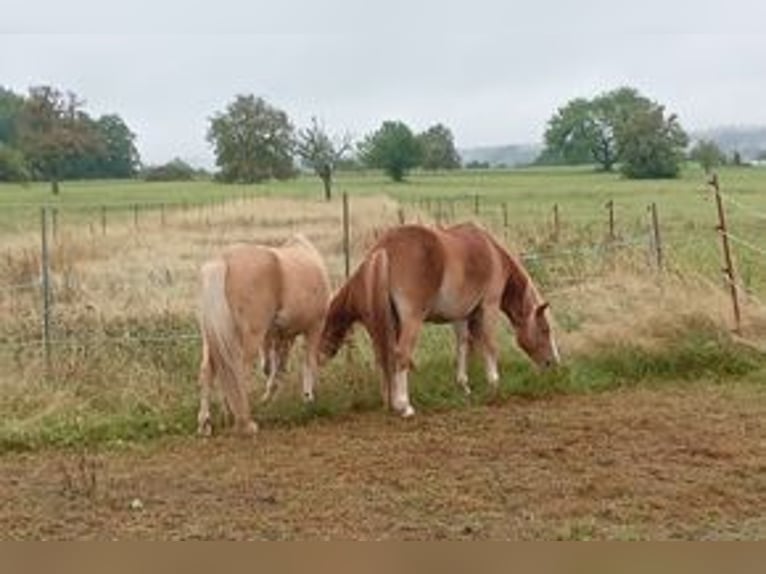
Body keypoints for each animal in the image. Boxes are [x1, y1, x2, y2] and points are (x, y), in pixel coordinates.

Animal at [197, 234, 331, 436]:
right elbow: (307, 362)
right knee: (236, 369)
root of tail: (224, 260)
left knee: (209, 370)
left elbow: (277, 366)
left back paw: (207, 423)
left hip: (213, 339)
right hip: (248, 338)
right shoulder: (314, 326)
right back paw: (244, 422)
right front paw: (309, 397)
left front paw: (270, 396)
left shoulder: (278, 335)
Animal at [320, 222, 559, 417]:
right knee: (400, 355)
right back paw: (404, 405)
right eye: (545, 330)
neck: (491, 251)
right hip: (411, 321)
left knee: (384, 357)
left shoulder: (460, 315)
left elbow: (463, 345)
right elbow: (489, 345)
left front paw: (464, 386)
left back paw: (391, 401)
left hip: (389, 323)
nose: (553, 363)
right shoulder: (488, 306)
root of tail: (385, 248)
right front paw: (494, 383)